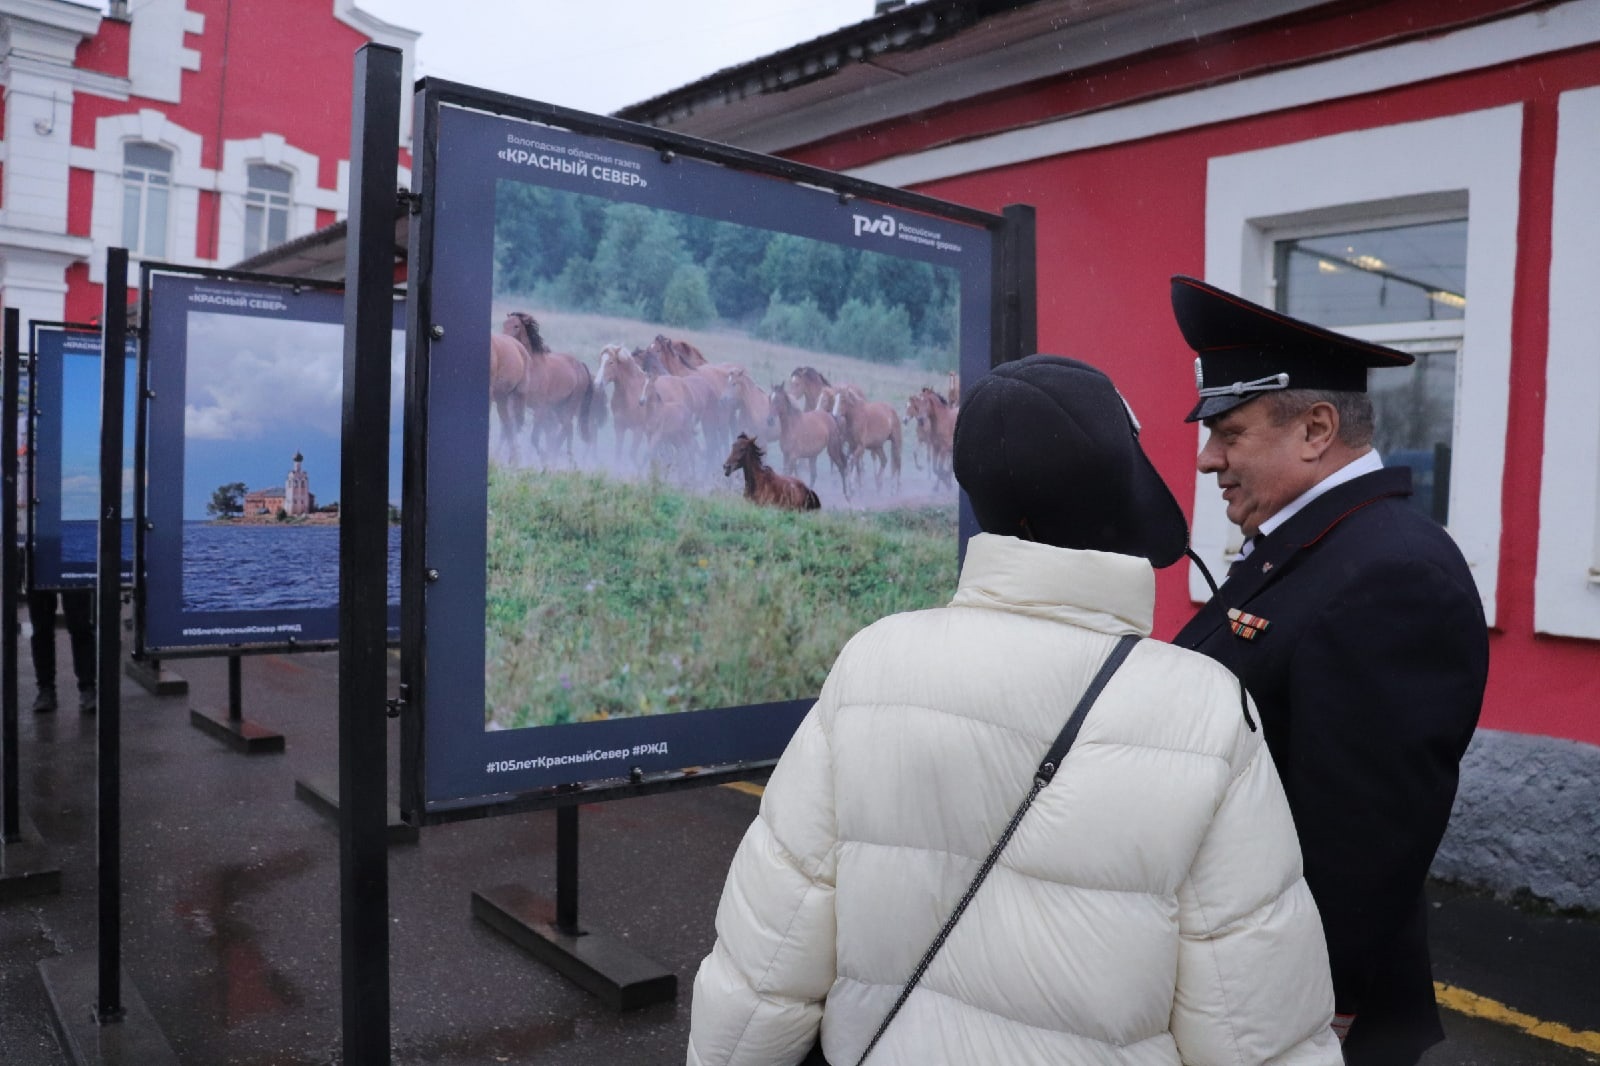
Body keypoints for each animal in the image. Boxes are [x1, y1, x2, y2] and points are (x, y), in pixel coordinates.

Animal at [499, 308, 601, 464]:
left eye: (516, 326)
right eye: (504, 324)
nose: (505, 341)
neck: (531, 367)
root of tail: (581, 365)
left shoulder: (540, 407)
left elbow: (534, 437)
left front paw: (543, 456)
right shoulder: (513, 403)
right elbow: (507, 430)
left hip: (570, 405)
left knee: (565, 427)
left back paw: (555, 455)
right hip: (559, 407)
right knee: (568, 428)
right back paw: (566, 456)